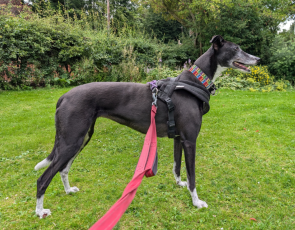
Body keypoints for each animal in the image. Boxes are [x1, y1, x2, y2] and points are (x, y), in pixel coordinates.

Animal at [35, 34, 262, 217]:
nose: (258, 59)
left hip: (80, 138)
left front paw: (179, 184)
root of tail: (63, 97)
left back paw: (68, 191)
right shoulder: (190, 140)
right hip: (71, 140)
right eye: (236, 48)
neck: (194, 82)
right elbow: (193, 176)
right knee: (43, 178)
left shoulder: (179, 138)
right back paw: (40, 211)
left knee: (63, 169)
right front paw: (196, 202)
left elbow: (177, 166)